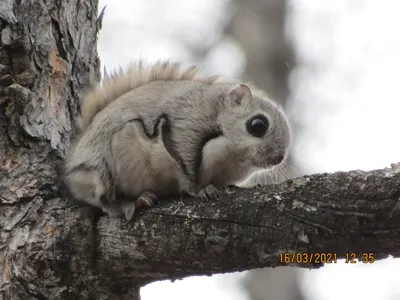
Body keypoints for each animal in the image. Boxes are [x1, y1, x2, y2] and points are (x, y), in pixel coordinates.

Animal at [64, 59, 292, 221]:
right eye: (258, 125)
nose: (278, 158)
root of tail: (73, 165)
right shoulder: (184, 125)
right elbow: (183, 165)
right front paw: (199, 190)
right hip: (103, 169)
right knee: (103, 199)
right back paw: (128, 203)